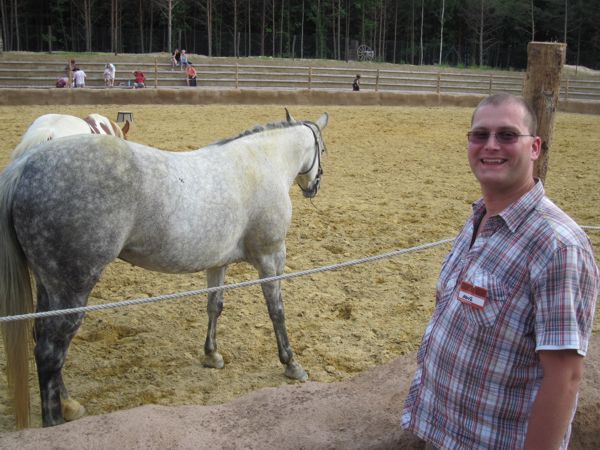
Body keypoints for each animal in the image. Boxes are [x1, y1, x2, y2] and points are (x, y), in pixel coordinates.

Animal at [0, 110, 328, 428]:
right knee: (50, 352)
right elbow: (277, 311)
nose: (314, 187)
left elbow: (214, 306)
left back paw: (69, 405)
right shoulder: (271, 257)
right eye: (322, 149)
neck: (261, 161)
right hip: (73, 289)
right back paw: (55, 420)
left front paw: (212, 355)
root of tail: (27, 164)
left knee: (43, 340)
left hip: (49, 285)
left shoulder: (218, 262)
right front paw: (291, 363)